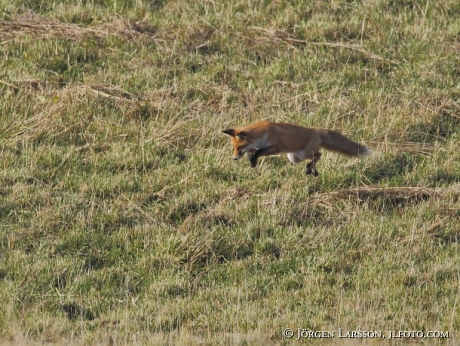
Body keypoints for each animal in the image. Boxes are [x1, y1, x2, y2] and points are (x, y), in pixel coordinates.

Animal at [223, 121, 370, 176]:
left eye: (239, 147)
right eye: (234, 148)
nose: (234, 158)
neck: (261, 134)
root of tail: (315, 131)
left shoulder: (275, 147)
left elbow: (259, 152)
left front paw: (253, 160)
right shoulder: (255, 147)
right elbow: (253, 153)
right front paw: (252, 162)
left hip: (302, 154)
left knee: (319, 154)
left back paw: (310, 169)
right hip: (294, 158)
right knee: (316, 156)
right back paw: (313, 170)